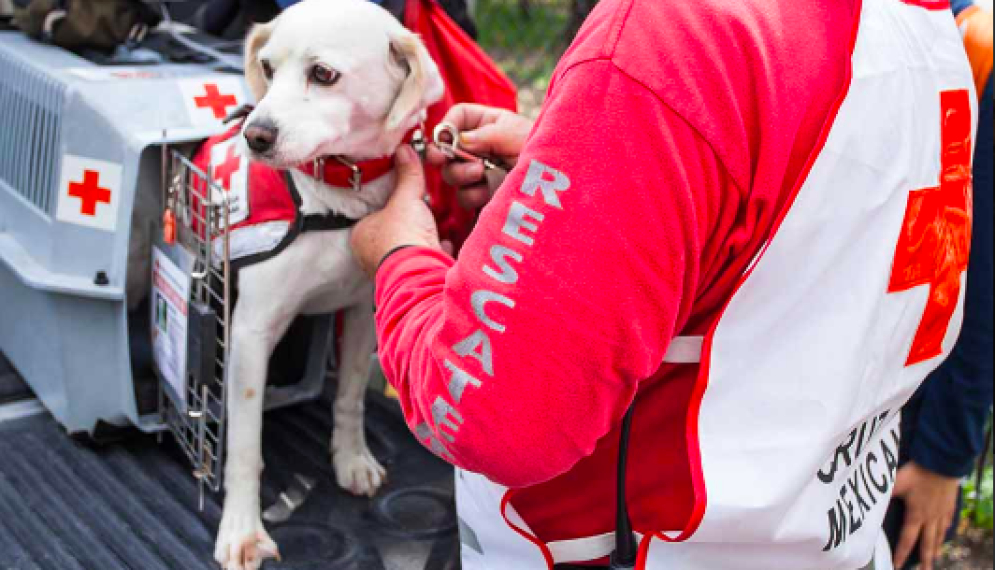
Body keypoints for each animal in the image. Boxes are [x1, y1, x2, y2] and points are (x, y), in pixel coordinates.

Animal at [215, 2, 444, 564]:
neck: (338, 195)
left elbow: (350, 398)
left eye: (323, 74)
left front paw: (351, 459)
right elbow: (245, 448)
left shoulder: (363, 313)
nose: (255, 136)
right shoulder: (251, 333)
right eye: (267, 68)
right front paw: (241, 530)